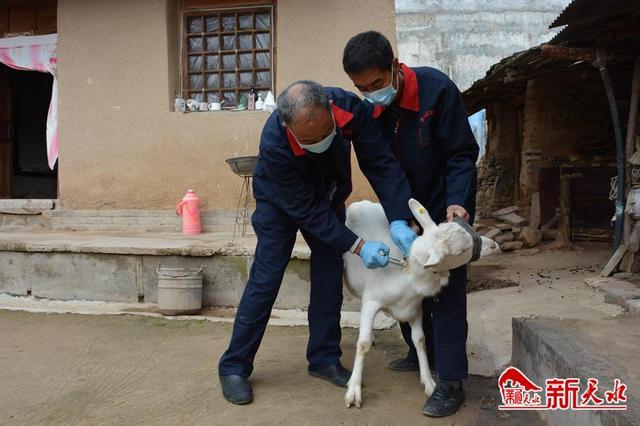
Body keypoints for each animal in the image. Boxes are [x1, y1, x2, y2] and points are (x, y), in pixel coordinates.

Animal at [344, 198, 500, 408]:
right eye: (462, 249)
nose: (494, 245)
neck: (406, 275)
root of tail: (359, 202)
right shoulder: (371, 302)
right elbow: (363, 343)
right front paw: (354, 390)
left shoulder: (415, 310)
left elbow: (420, 340)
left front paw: (429, 383)